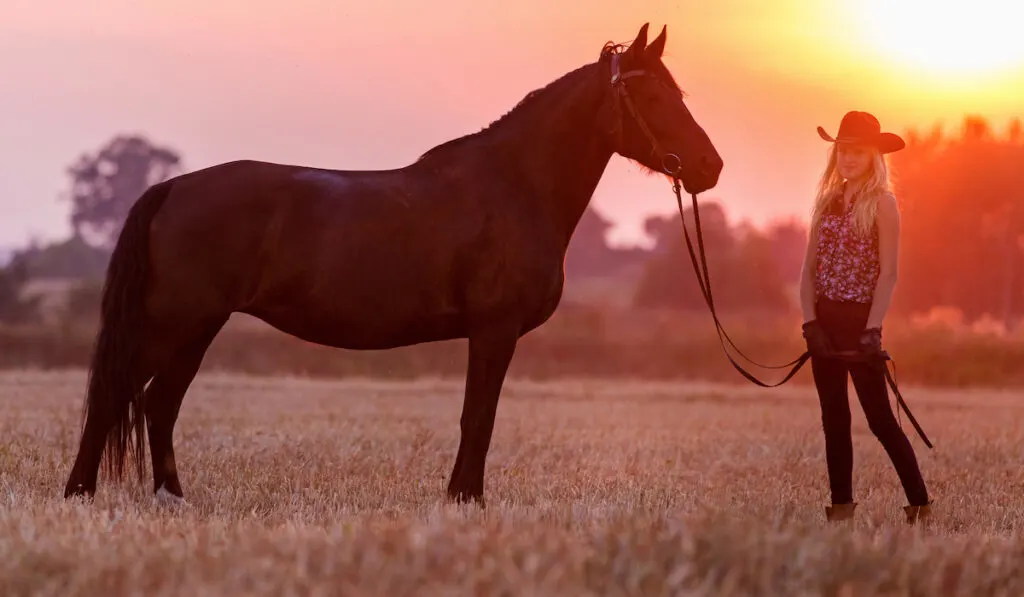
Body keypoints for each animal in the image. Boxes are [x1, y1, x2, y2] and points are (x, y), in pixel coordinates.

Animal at [64, 25, 724, 507]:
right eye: (653, 97)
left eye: (679, 94)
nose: (709, 167)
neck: (513, 186)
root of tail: (173, 187)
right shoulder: (494, 330)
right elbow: (478, 418)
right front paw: (465, 500)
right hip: (173, 322)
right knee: (117, 396)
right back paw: (79, 495)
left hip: (198, 328)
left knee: (159, 404)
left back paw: (173, 499)